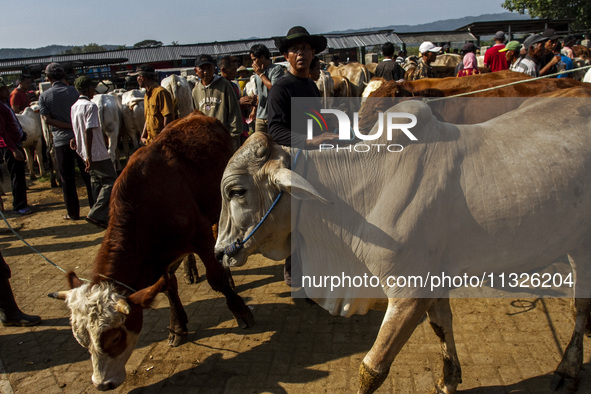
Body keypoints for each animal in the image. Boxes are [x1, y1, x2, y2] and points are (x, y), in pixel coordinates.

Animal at [49, 111, 253, 390]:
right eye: (82, 340)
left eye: (114, 337)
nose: (102, 384)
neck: (147, 207)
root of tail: (197, 114)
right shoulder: (160, 257)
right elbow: (168, 286)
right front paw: (177, 326)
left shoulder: (199, 235)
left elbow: (216, 279)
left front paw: (240, 309)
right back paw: (190, 270)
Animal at [216, 98, 591, 394]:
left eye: (236, 191)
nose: (220, 252)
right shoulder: (434, 281)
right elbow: (441, 327)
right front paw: (449, 380)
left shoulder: (409, 293)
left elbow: (372, 369)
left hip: (584, 248)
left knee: (580, 307)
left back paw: (568, 370)